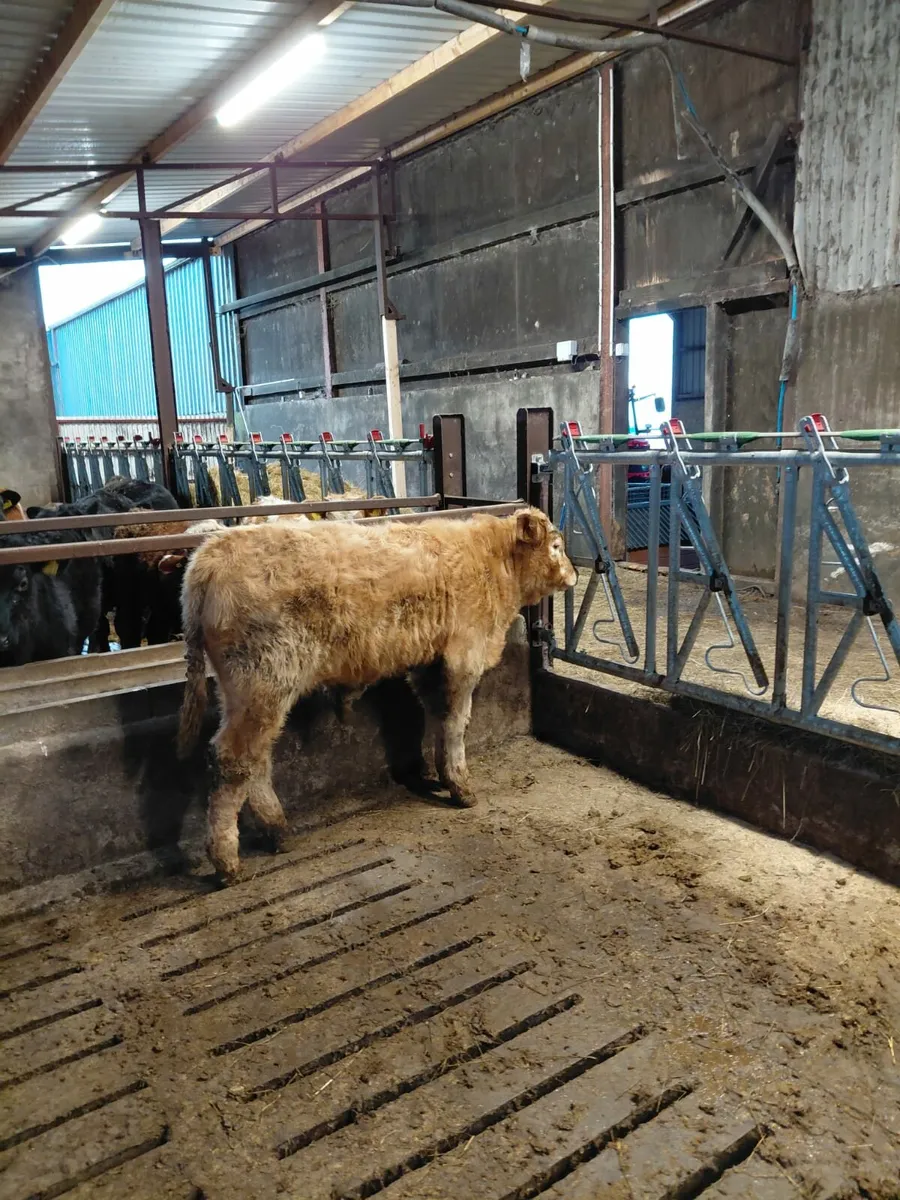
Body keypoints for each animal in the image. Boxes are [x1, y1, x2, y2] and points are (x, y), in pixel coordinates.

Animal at [176, 507, 576, 882]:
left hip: (246, 694)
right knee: (234, 760)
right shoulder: (464, 657)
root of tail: (212, 552)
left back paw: (277, 830)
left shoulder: (430, 664)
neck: (493, 560)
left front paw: (441, 775)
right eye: (557, 546)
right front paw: (461, 787)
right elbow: (456, 724)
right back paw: (227, 861)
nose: (572, 575)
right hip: (263, 682)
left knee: (255, 759)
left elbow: (437, 718)